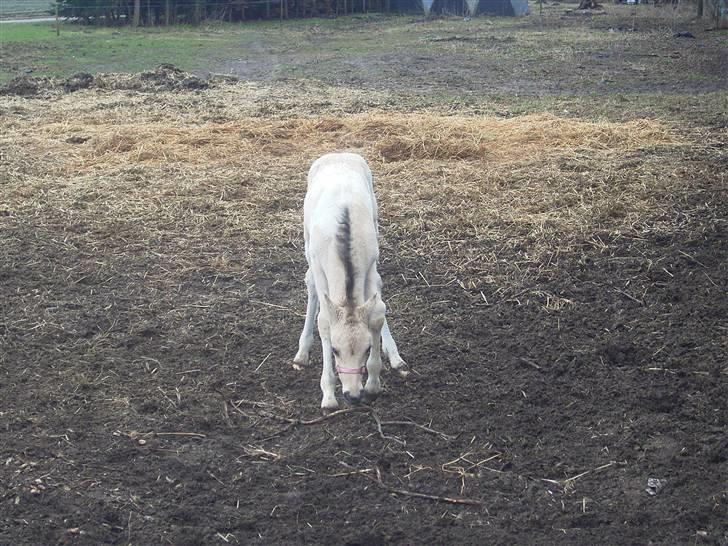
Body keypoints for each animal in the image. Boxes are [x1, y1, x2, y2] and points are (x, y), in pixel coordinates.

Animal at [294, 152, 410, 408]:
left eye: (367, 349)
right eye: (335, 350)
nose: (353, 395)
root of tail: (338, 153)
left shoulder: (371, 264)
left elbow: (377, 311)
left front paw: (374, 385)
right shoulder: (320, 267)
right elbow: (324, 319)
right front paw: (328, 397)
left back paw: (395, 356)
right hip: (306, 240)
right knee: (310, 283)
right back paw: (301, 354)